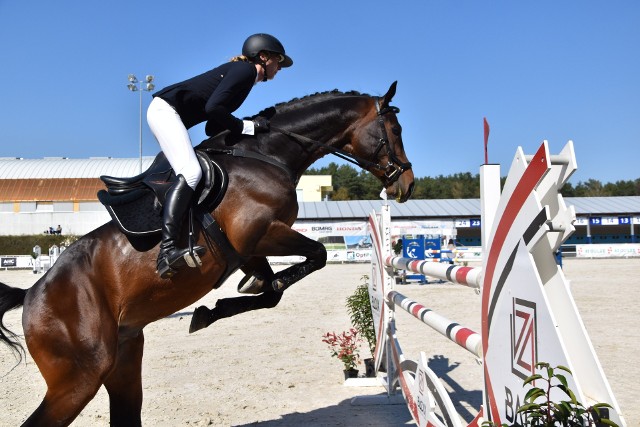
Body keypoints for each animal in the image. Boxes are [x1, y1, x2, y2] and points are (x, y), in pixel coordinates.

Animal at [0, 82, 416, 426]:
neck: (268, 156)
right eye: (395, 131)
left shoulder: (248, 248)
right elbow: (315, 256)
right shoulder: (262, 234)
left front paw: (213, 310)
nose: (407, 185)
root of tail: (32, 294)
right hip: (80, 377)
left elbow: (271, 291)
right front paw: (225, 302)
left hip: (122, 362)